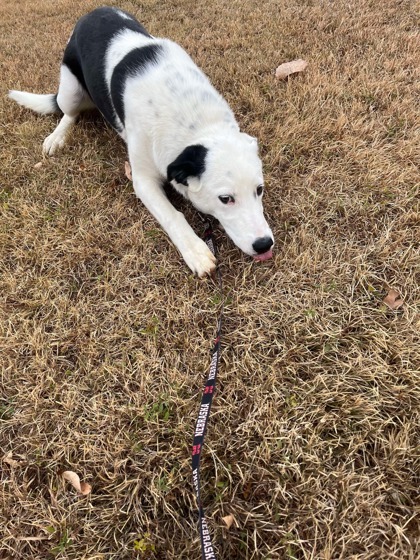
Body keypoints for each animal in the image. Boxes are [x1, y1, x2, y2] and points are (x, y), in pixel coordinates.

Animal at [9, 4, 274, 276]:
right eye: (225, 199)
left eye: (259, 189)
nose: (264, 244)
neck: (196, 122)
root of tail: (94, 11)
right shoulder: (143, 180)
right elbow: (172, 215)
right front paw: (196, 251)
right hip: (70, 89)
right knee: (69, 113)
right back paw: (57, 136)